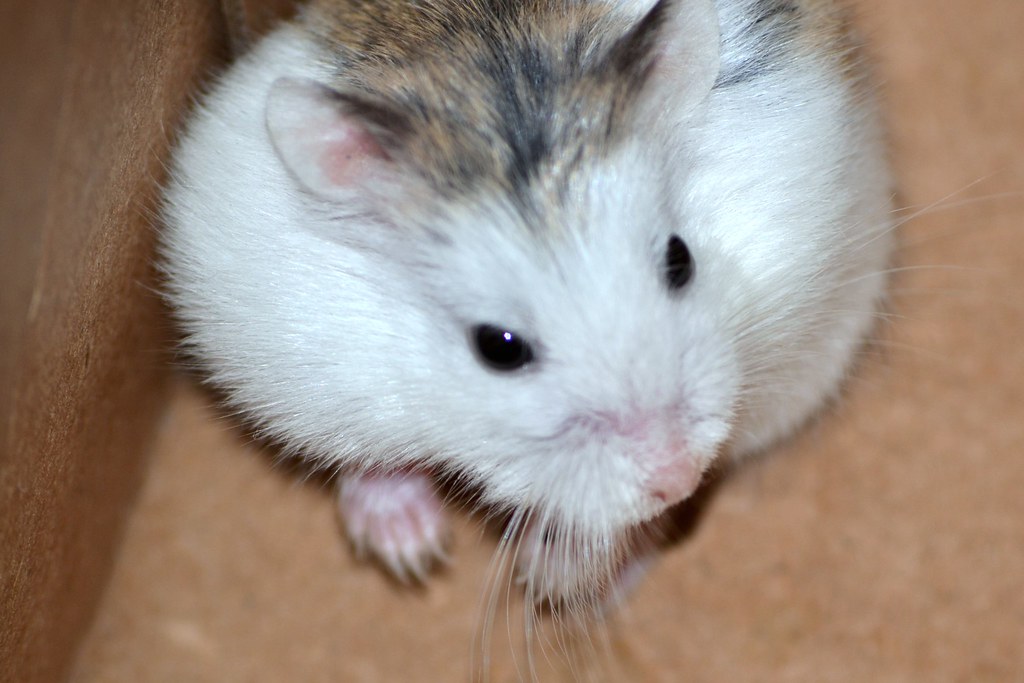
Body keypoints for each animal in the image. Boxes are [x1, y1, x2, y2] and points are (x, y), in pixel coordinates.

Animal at [160, 0, 893, 606]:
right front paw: (411, 551)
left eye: (680, 259)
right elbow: (369, 459)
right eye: (498, 348)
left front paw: (549, 574)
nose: (678, 475)